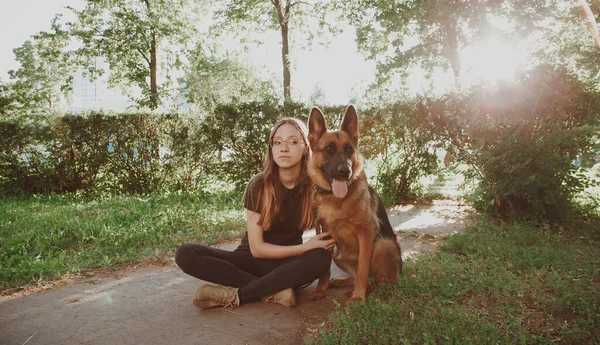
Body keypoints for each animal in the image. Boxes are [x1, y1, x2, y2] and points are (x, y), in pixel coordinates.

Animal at [308, 105, 400, 300]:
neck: (336, 199)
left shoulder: (366, 233)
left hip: (384, 245)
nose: (345, 171)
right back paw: (342, 282)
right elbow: (325, 268)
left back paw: (363, 289)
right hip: (338, 255)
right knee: (354, 276)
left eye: (349, 149)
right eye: (329, 149)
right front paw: (321, 289)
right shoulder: (326, 234)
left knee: (376, 282)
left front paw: (358, 297)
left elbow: (363, 268)